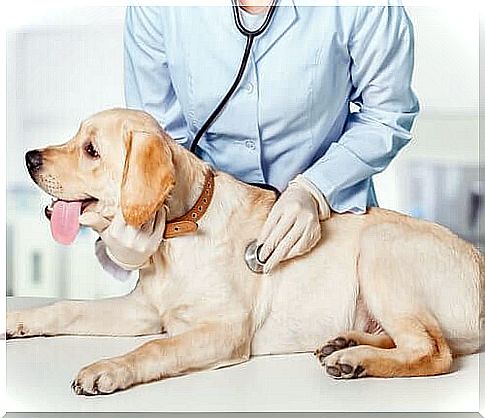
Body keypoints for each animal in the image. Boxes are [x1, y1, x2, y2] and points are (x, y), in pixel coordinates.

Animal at [8, 108, 484, 396]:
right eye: (75, 136)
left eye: (91, 150)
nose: (29, 157)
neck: (178, 234)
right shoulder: (143, 310)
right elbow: (67, 308)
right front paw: (18, 320)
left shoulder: (224, 329)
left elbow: (155, 349)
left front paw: (107, 368)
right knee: (413, 337)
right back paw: (345, 343)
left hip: (380, 250)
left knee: (433, 350)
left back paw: (355, 360)